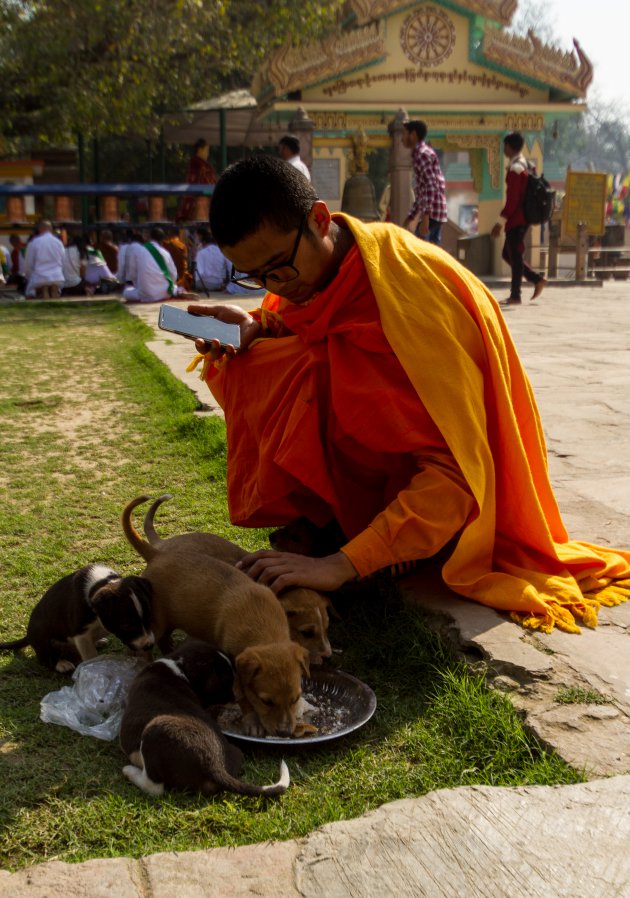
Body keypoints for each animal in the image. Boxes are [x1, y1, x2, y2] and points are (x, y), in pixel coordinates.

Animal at [0, 560, 156, 672]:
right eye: (126, 625)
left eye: (149, 617)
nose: (149, 645)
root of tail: (28, 636)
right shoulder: (81, 633)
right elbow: (90, 655)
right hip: (42, 636)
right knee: (45, 657)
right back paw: (61, 663)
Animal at [120, 636, 292, 800]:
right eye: (228, 680)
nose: (237, 697)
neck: (179, 666)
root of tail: (215, 766)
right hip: (236, 751)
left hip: (156, 728)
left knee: (154, 787)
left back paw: (129, 771)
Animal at [122, 496, 310, 736]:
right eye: (266, 701)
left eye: (295, 698)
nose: (285, 733)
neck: (263, 627)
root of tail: (157, 554)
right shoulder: (235, 670)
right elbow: (244, 698)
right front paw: (252, 721)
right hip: (156, 620)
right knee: (146, 648)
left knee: (164, 640)